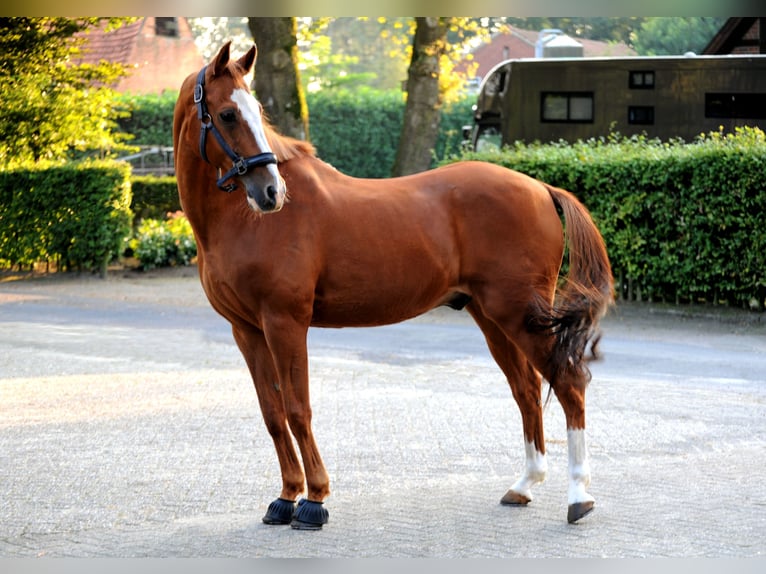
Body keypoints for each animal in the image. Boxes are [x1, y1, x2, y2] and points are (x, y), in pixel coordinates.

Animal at [176, 42, 616, 532]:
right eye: (229, 114)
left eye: (254, 111)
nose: (272, 191)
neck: (241, 223)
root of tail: (540, 187)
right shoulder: (247, 330)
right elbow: (272, 415)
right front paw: (285, 497)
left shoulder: (285, 322)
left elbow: (297, 408)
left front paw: (314, 501)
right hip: (493, 317)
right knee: (526, 390)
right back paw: (524, 485)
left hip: (521, 315)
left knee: (568, 382)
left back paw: (579, 497)